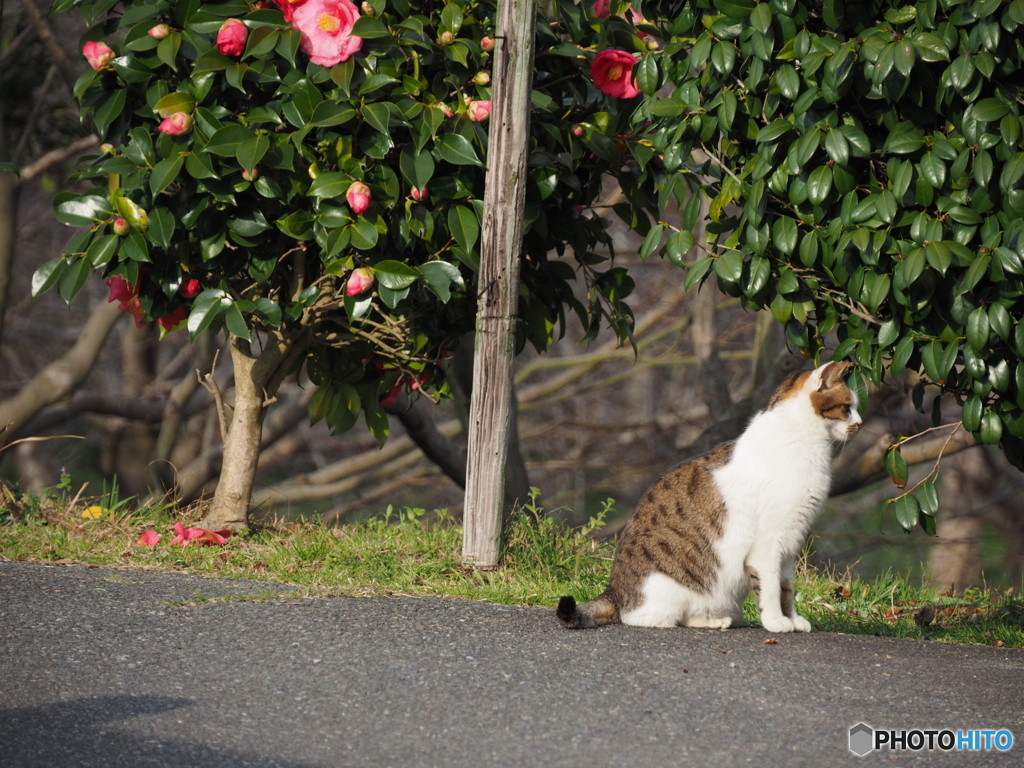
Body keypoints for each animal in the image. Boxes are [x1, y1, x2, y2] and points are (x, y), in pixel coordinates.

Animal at [557, 364, 860, 634]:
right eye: (847, 407)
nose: (859, 424)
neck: (805, 441)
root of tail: (614, 591)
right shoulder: (769, 543)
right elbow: (771, 588)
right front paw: (776, 622)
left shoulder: (790, 542)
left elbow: (787, 588)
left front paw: (794, 620)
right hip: (673, 587)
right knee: (654, 618)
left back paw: (719, 620)